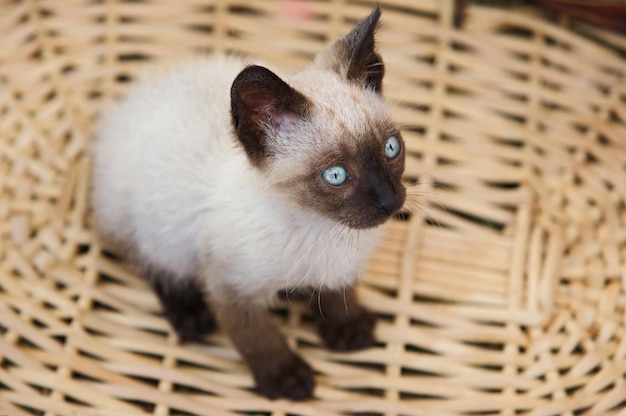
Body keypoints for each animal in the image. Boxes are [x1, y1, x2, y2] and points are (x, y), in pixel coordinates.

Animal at [91, 6, 404, 402]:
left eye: (392, 149)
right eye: (336, 175)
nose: (390, 201)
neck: (322, 228)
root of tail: (126, 104)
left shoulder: (340, 270)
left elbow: (339, 296)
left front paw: (350, 332)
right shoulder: (231, 290)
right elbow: (258, 339)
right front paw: (287, 380)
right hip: (158, 230)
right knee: (154, 266)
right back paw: (191, 318)